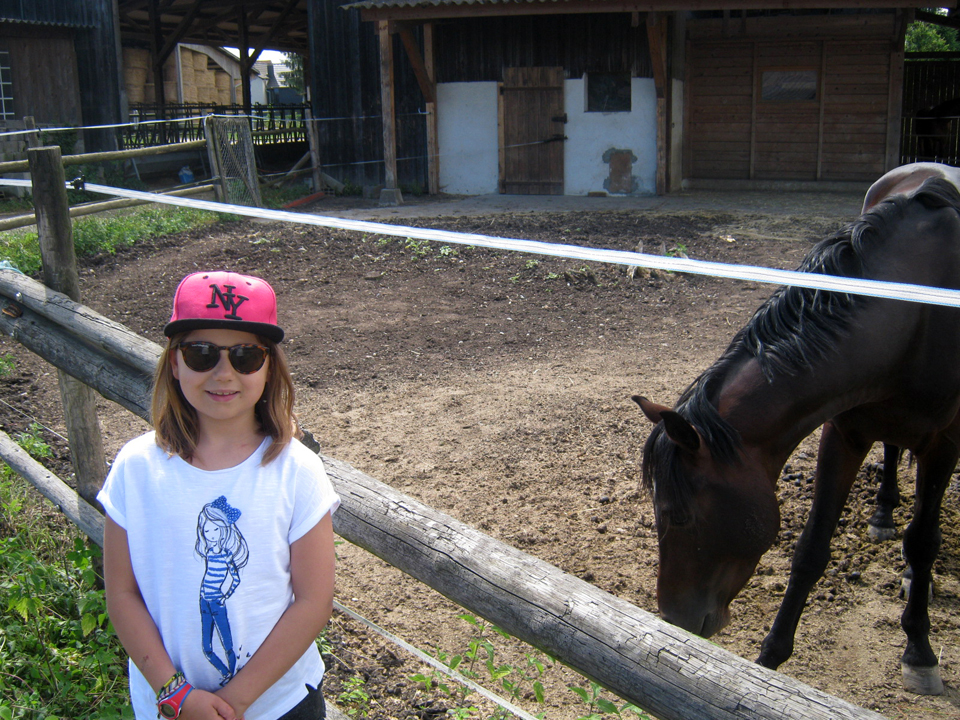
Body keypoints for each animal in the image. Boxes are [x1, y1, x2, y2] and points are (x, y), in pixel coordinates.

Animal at [634, 174, 960, 696]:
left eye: (678, 515)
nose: (673, 619)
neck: (914, 314)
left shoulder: (943, 444)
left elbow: (924, 542)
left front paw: (920, 651)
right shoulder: (844, 431)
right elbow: (810, 550)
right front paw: (769, 658)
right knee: (892, 451)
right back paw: (883, 514)